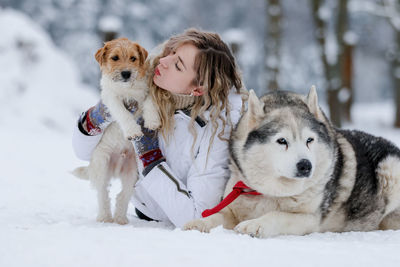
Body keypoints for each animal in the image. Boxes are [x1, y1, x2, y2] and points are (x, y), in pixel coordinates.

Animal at [185, 86, 400, 239]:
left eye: (309, 140)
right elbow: (217, 216)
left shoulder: (309, 219)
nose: (305, 165)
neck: (270, 193)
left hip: (390, 168)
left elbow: (277, 215)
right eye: (282, 141)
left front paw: (256, 224)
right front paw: (198, 223)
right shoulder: (232, 207)